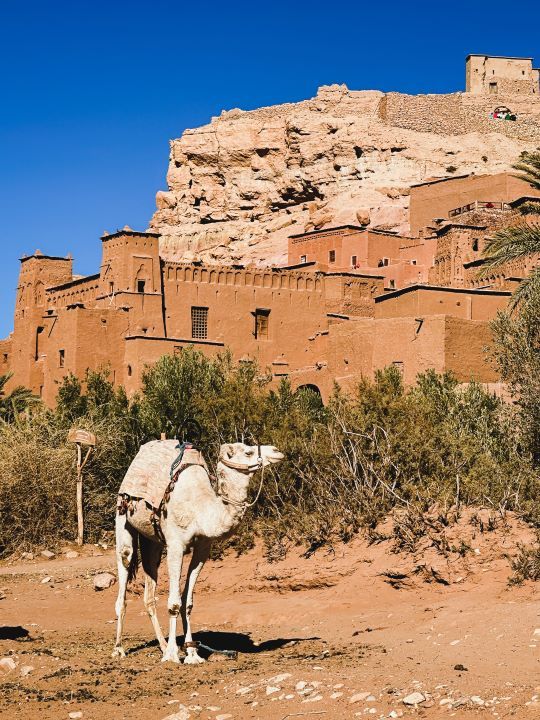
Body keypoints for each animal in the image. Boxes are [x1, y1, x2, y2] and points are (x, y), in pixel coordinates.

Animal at [112, 441, 284, 663]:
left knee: (149, 589)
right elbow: (174, 603)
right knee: (124, 565)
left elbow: (188, 603)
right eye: (248, 451)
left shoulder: (202, 548)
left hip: (153, 541)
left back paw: (163, 644)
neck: (201, 510)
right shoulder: (176, 545)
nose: (277, 451)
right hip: (122, 514)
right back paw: (119, 648)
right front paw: (172, 656)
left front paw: (192, 654)